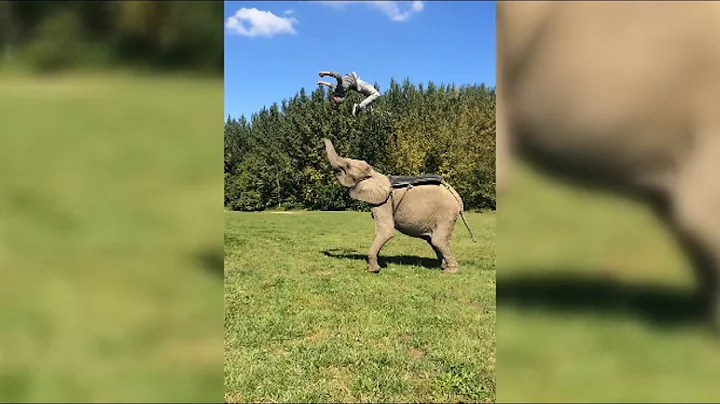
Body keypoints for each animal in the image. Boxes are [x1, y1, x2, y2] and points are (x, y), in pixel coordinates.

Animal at [319, 138, 476, 274]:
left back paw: (449, 271)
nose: (322, 141)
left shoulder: (384, 201)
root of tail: (457, 197)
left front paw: (373, 270)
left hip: (446, 214)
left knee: (438, 241)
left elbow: (386, 231)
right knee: (434, 241)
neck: (374, 174)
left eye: (347, 167)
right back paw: (443, 266)